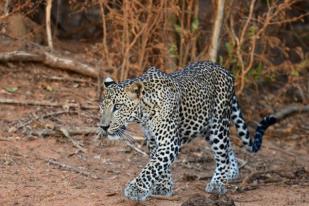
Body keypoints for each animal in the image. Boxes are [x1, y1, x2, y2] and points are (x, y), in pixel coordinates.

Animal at [97, 60, 276, 201]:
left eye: (117, 107)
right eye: (101, 107)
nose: (104, 127)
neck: (144, 113)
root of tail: (224, 69)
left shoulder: (169, 142)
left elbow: (152, 167)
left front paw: (135, 189)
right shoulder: (153, 140)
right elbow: (159, 164)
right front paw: (164, 186)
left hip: (217, 124)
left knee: (222, 154)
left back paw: (218, 182)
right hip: (206, 127)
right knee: (227, 147)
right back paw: (231, 172)